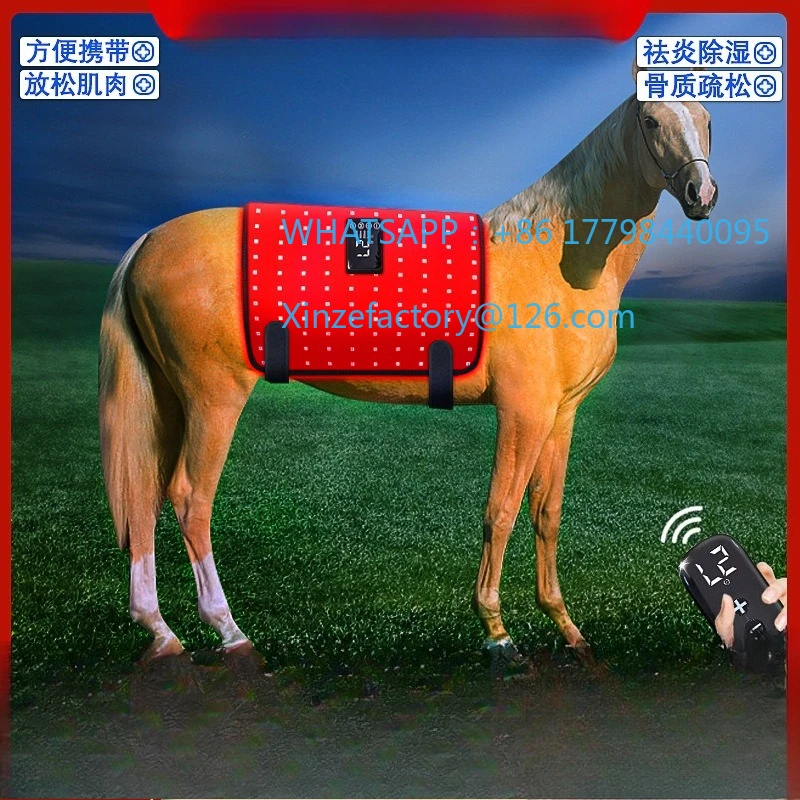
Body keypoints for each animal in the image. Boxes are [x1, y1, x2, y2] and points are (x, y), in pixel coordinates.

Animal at [99, 63, 717, 670]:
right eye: (650, 118)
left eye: (707, 116)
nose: (701, 193)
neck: (556, 255)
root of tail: (150, 239)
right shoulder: (523, 412)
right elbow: (500, 511)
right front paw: (498, 633)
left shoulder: (560, 413)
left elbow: (546, 514)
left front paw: (568, 629)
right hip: (214, 398)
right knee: (189, 498)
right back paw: (229, 632)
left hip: (169, 400)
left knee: (145, 496)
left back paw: (160, 631)